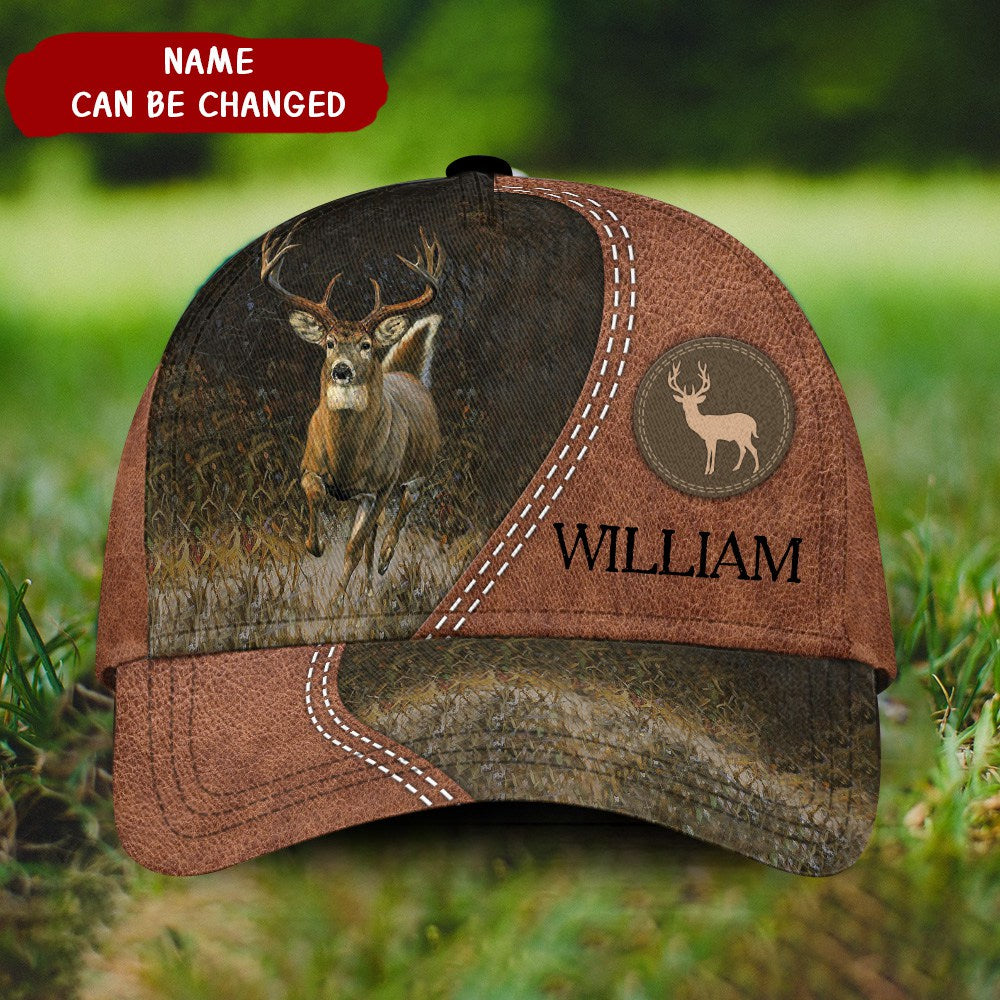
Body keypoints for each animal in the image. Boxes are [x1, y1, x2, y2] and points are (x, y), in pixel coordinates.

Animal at [260, 222, 444, 602]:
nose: (341, 370)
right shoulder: (309, 466)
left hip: (418, 470)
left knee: (401, 509)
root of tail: (407, 374)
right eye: (329, 343)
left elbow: (353, 547)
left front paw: (338, 599)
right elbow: (317, 498)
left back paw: (384, 564)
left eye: (366, 344)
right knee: (375, 532)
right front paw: (315, 547)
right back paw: (371, 584)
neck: (346, 457)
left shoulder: (378, 487)